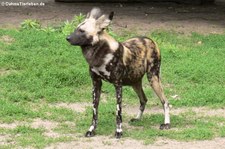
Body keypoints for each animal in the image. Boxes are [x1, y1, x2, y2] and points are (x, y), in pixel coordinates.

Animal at [67, 7, 171, 139]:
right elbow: (94, 111)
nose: (67, 38)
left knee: (165, 102)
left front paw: (119, 131)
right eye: (76, 29)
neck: (100, 55)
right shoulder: (96, 84)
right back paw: (137, 118)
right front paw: (91, 130)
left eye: (82, 31)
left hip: (153, 79)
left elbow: (118, 112)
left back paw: (166, 124)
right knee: (143, 99)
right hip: (134, 82)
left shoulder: (118, 86)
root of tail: (150, 39)